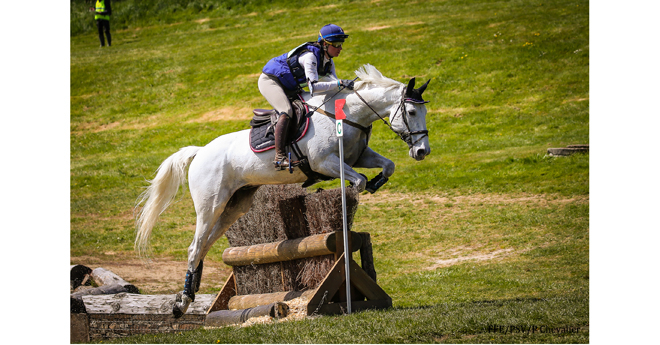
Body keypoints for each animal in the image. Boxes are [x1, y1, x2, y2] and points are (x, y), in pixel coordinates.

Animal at [135, 63, 434, 316]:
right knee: (195, 246)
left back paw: (188, 295)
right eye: (411, 112)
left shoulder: (357, 157)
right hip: (211, 204)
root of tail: (200, 152)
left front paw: (374, 183)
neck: (348, 115)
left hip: (236, 204)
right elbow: (357, 180)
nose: (422, 151)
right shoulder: (325, 162)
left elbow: (388, 166)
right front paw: (355, 190)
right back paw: (182, 303)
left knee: (204, 246)